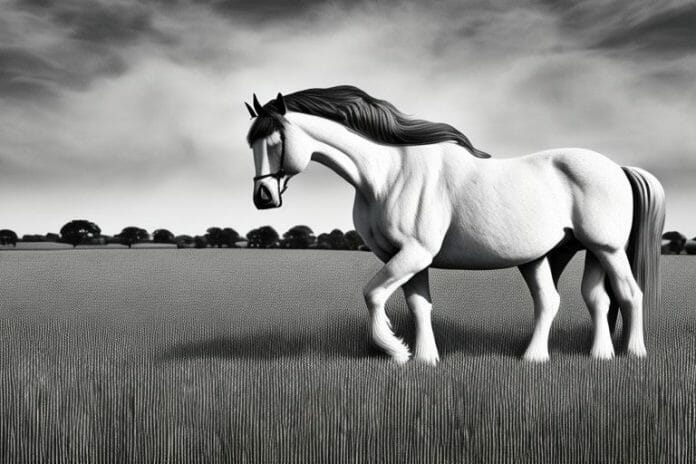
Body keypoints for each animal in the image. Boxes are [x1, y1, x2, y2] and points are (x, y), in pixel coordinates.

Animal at [244, 85, 665, 364]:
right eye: (252, 142)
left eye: (277, 139)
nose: (263, 197)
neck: (389, 174)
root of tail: (618, 168)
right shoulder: (406, 258)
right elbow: (418, 305)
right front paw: (425, 359)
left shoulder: (414, 254)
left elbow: (373, 294)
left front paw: (396, 350)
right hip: (561, 254)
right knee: (578, 300)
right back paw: (565, 357)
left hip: (608, 249)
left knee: (629, 294)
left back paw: (634, 353)